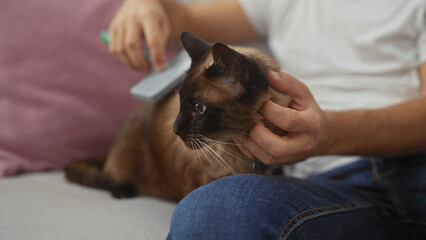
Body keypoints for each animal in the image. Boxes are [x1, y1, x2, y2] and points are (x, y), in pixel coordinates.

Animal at [65, 31, 292, 201]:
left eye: (199, 108)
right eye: (180, 101)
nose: (175, 129)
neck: (248, 161)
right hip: (124, 162)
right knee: (109, 177)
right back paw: (122, 191)